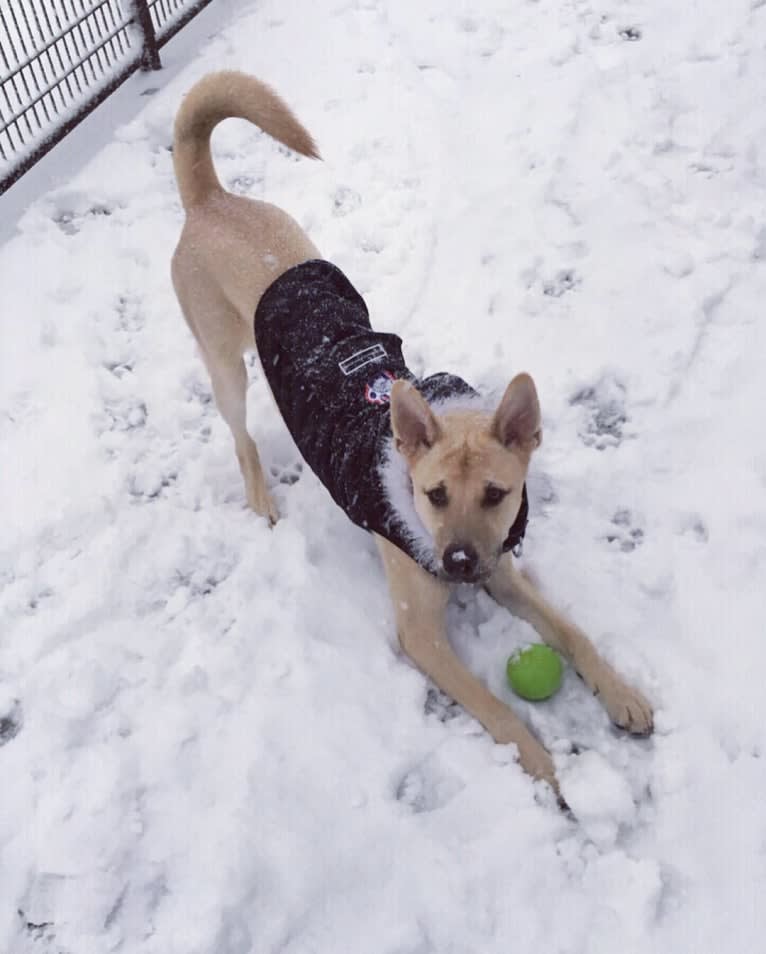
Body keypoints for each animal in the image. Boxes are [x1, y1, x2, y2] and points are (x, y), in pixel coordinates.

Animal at [170, 70, 656, 796]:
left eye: (496, 494)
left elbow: (574, 632)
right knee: (239, 434)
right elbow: (495, 709)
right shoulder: (420, 635)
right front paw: (542, 768)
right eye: (432, 495)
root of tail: (210, 201)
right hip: (225, 364)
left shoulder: (505, 571)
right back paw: (260, 495)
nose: (458, 564)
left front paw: (620, 691)